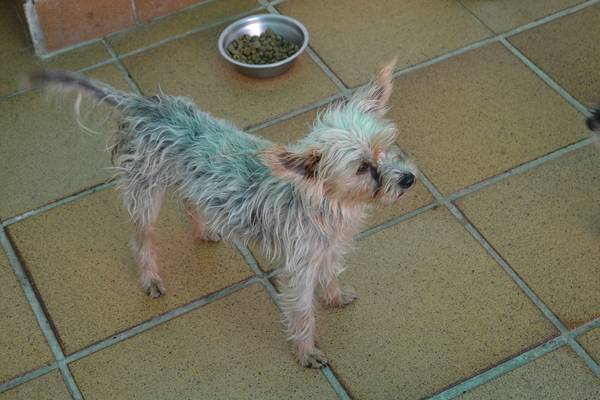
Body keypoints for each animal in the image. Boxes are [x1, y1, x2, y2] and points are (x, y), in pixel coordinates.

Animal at [30, 60, 416, 368]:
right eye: (363, 168)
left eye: (389, 146)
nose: (409, 179)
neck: (330, 203)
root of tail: (141, 104)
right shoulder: (300, 267)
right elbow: (303, 312)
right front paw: (306, 351)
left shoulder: (330, 247)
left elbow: (332, 273)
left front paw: (334, 295)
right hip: (146, 193)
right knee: (141, 238)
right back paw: (150, 277)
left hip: (190, 179)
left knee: (190, 201)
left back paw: (204, 230)